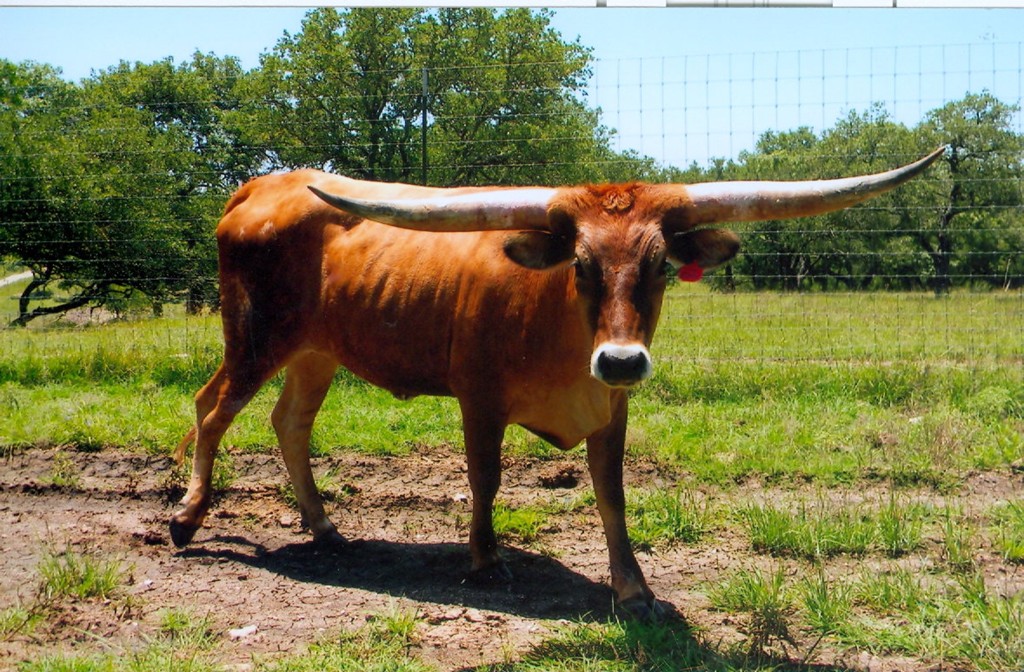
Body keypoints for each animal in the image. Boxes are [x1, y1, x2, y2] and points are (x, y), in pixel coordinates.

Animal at [170, 147, 943, 619]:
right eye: (580, 264)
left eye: (661, 266)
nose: (623, 360)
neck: (563, 336)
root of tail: (262, 184)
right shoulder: (479, 398)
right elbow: (485, 479)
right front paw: (486, 561)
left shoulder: (612, 409)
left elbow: (612, 497)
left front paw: (633, 588)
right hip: (255, 336)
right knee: (212, 410)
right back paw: (187, 515)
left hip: (315, 351)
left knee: (290, 422)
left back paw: (325, 526)